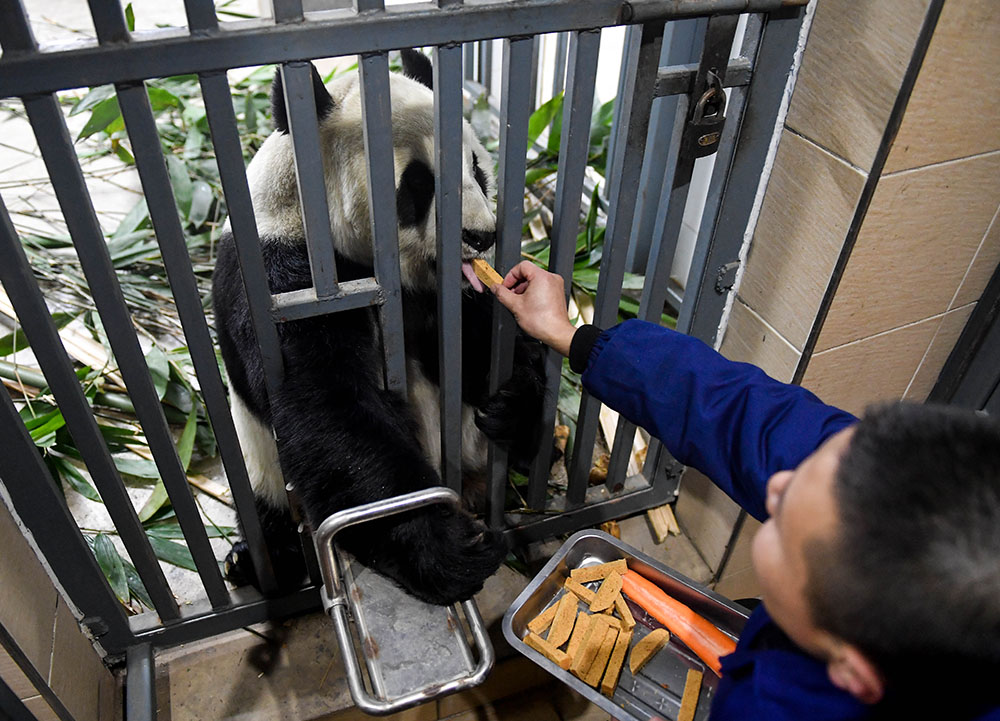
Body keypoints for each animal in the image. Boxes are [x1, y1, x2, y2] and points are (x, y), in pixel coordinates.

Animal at [210, 47, 548, 604]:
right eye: (419, 184)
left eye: (477, 168)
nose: (481, 236)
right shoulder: (282, 280)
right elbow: (329, 406)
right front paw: (450, 550)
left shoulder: (444, 293)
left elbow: (475, 341)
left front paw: (514, 402)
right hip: (259, 461)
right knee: (264, 503)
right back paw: (257, 561)